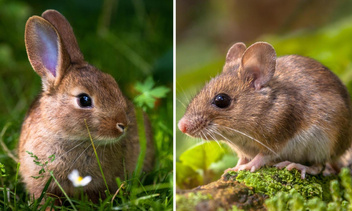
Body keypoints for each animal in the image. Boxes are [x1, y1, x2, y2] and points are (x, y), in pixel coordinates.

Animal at [179, 41, 352, 178]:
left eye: (221, 100)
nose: (181, 126)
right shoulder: (242, 150)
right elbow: (242, 158)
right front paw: (233, 168)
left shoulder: (276, 138)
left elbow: (261, 157)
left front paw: (247, 167)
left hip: (325, 144)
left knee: (319, 166)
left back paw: (296, 165)